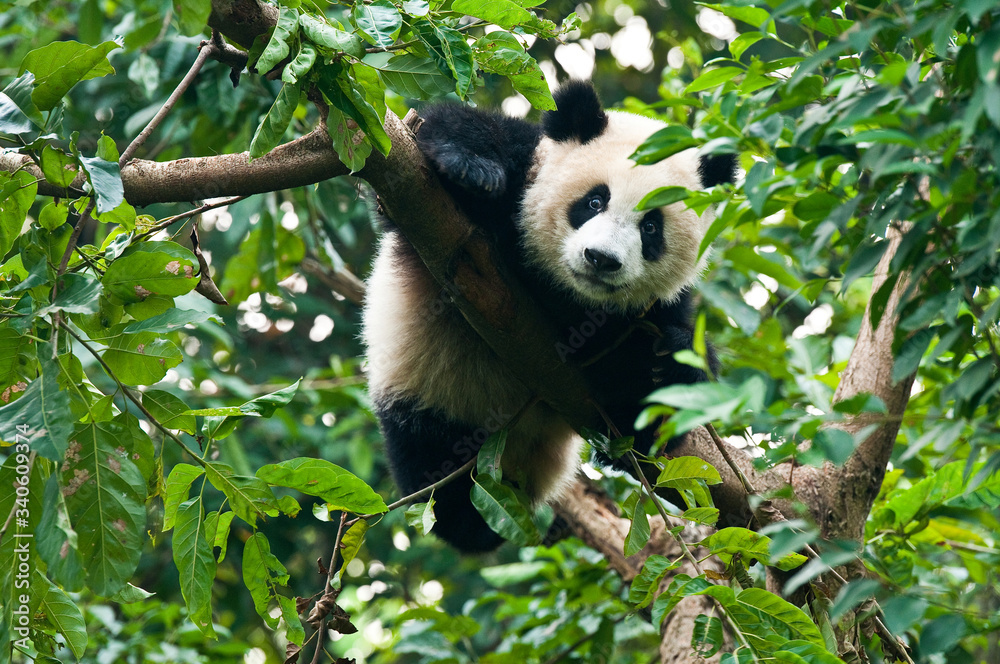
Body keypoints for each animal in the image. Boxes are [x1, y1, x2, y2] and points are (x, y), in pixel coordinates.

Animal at [362, 81, 736, 552]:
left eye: (651, 227)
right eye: (594, 201)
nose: (601, 259)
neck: (566, 293)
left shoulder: (656, 308)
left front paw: (663, 361)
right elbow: (443, 135)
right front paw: (471, 167)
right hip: (427, 394)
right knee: (437, 472)